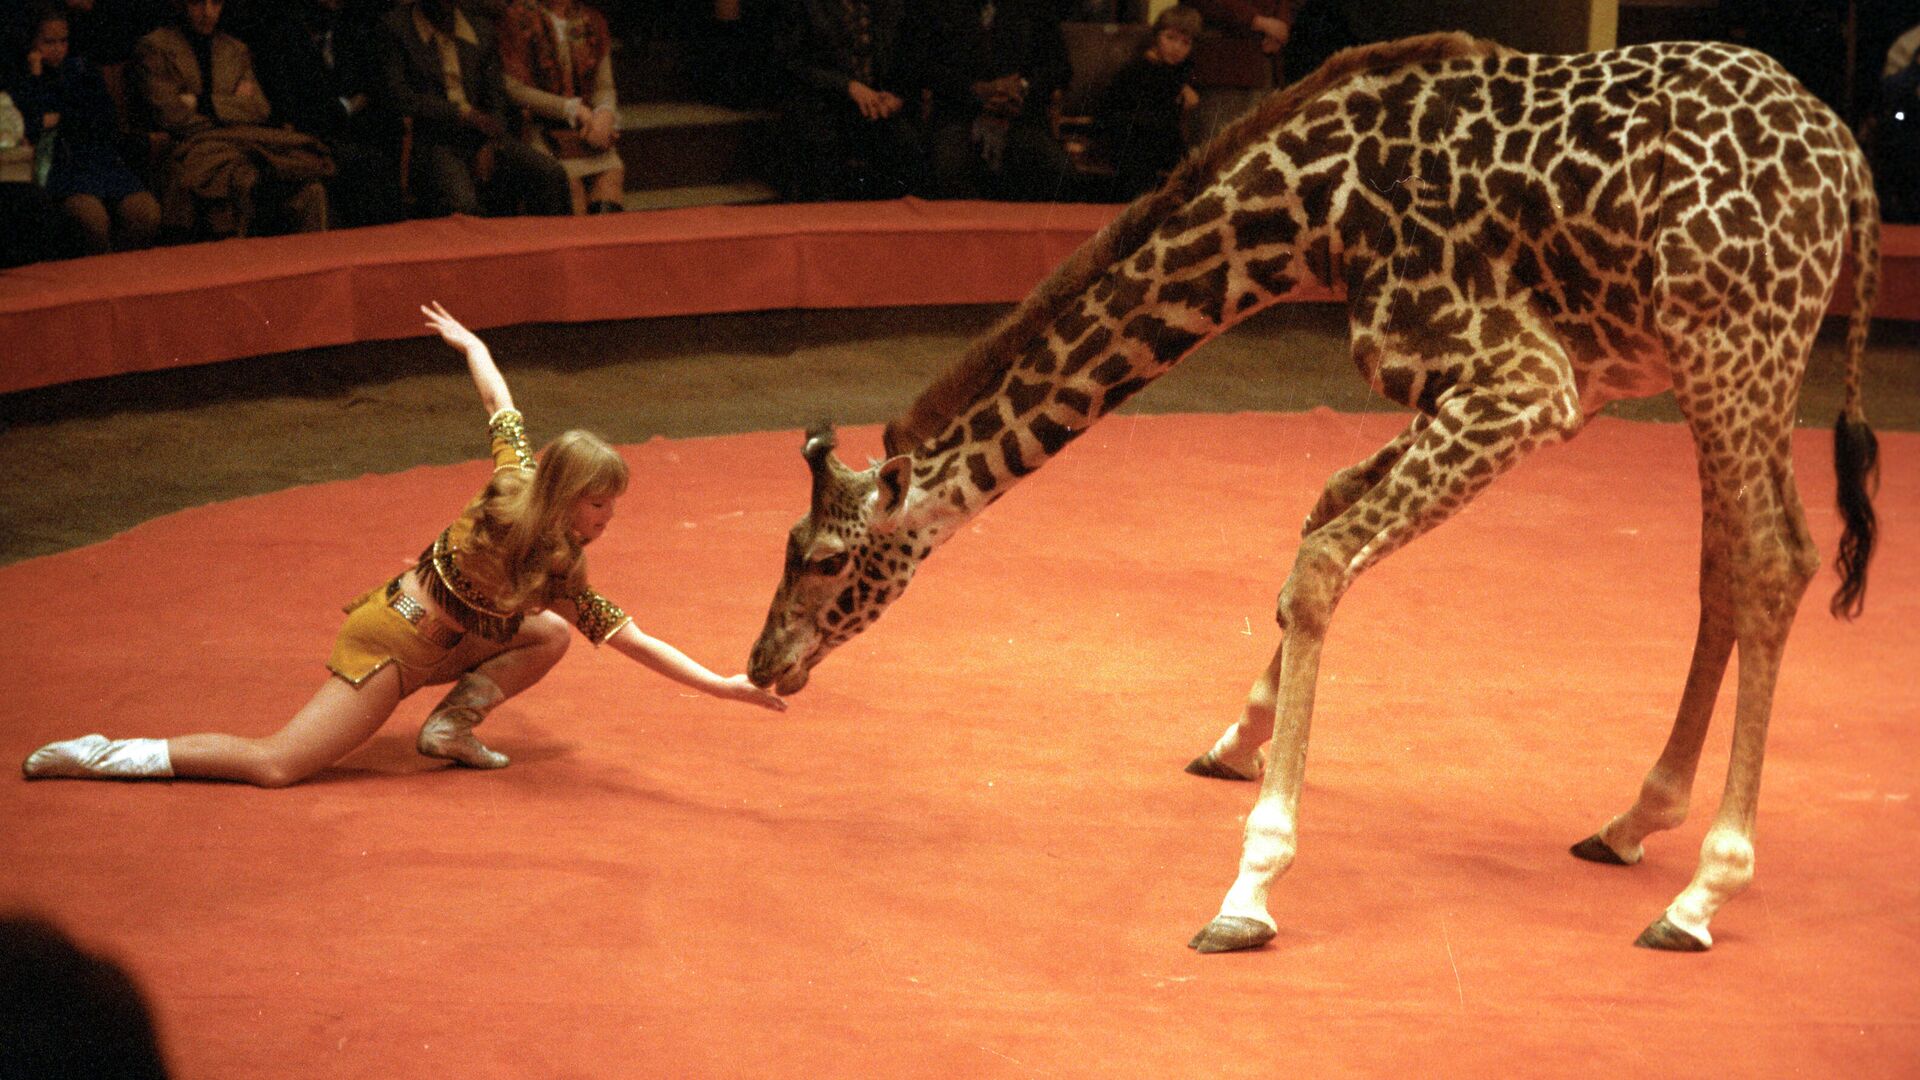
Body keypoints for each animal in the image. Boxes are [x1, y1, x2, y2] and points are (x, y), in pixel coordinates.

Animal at [744, 29, 1873, 945]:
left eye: (825, 559)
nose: (762, 663)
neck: (1314, 216)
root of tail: (1853, 170)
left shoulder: (1522, 385)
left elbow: (1325, 560)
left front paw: (1250, 884)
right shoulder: (1531, 390)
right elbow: (1321, 513)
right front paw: (1234, 739)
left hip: (1733, 346)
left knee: (1775, 559)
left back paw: (1703, 894)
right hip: (1711, 365)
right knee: (1738, 560)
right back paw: (1634, 822)